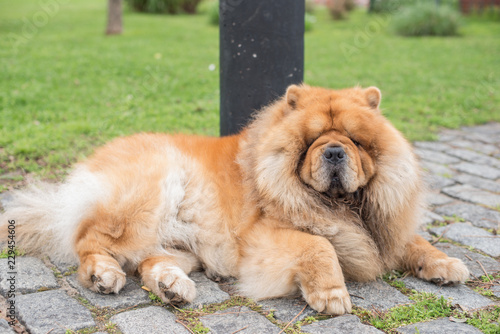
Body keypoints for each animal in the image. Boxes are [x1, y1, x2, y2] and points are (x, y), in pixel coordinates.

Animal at [0, 85, 468, 314]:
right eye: (312, 142)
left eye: (354, 140)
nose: (334, 151)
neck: (342, 206)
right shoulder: (261, 238)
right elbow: (319, 244)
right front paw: (331, 295)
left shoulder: (381, 230)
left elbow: (412, 241)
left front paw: (445, 264)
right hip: (147, 197)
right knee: (89, 240)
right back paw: (104, 275)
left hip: (180, 245)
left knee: (150, 261)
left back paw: (172, 286)